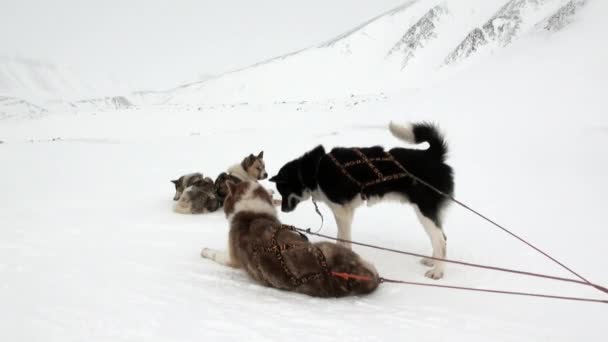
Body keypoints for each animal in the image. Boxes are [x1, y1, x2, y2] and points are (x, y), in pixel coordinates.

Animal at [268, 121, 454, 280]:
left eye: (283, 192)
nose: (282, 209)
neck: (315, 170)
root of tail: (433, 155)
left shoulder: (342, 212)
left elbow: (345, 240)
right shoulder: (344, 212)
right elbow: (340, 238)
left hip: (424, 211)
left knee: (441, 240)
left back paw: (438, 271)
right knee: (441, 237)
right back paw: (432, 261)